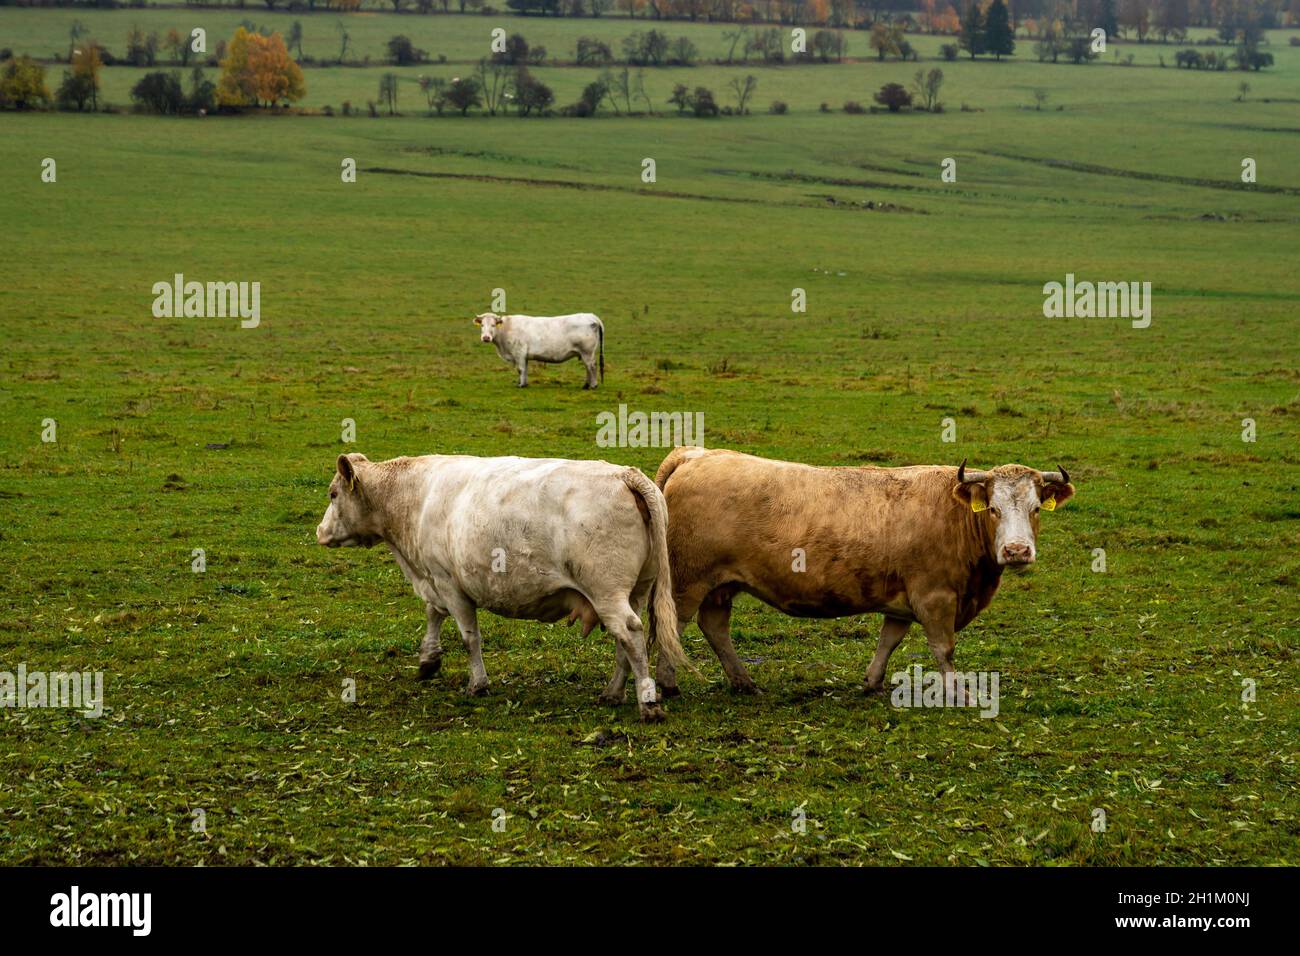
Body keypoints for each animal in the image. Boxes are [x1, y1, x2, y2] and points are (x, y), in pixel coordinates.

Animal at [315, 452, 686, 721]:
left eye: (333, 494)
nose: (319, 532)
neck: (415, 495)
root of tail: (626, 475)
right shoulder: (434, 579)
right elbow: (433, 615)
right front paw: (428, 658)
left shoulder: (449, 582)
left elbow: (469, 637)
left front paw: (477, 684)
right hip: (636, 590)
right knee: (625, 641)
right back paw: (613, 692)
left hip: (607, 592)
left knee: (630, 634)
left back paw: (648, 703)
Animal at [474, 312, 605, 389]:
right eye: (482, 325)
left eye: (493, 325)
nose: (486, 338)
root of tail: (591, 315)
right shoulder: (524, 356)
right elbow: (525, 370)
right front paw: (524, 383)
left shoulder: (519, 353)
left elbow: (520, 369)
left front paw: (521, 385)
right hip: (585, 353)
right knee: (588, 367)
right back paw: (586, 385)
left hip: (587, 352)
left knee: (591, 366)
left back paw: (593, 385)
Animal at [640, 447, 1075, 702]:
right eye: (993, 509)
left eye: (1036, 508)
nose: (1016, 551)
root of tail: (696, 455)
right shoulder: (935, 597)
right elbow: (943, 649)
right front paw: (958, 693)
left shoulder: (902, 600)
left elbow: (889, 640)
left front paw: (872, 681)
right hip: (688, 582)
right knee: (672, 625)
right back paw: (668, 683)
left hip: (721, 585)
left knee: (715, 627)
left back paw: (743, 681)